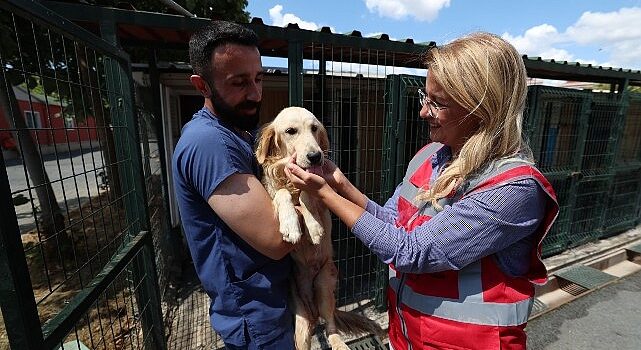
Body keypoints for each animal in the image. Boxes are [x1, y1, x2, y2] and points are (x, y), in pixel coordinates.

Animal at [255, 106, 382, 350]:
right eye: (291, 131)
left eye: (314, 128)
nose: (315, 156)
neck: (291, 181)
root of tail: (313, 310)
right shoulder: (271, 195)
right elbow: (283, 194)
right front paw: (291, 226)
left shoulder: (321, 198)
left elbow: (308, 194)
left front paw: (313, 228)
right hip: (301, 321)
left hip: (324, 285)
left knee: (330, 326)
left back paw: (339, 343)